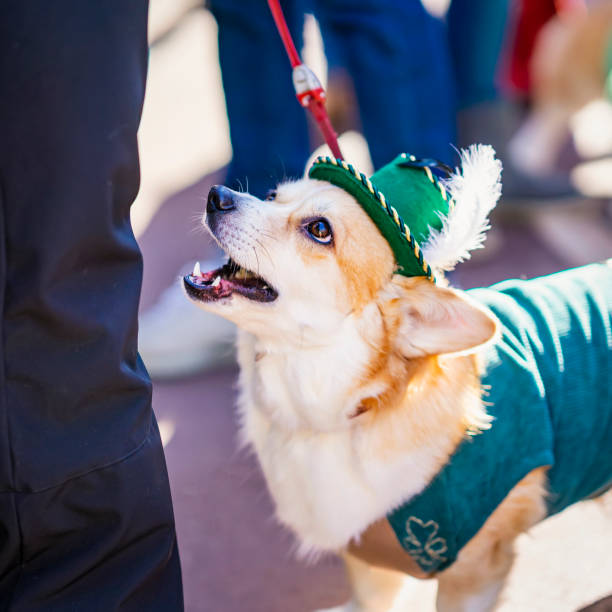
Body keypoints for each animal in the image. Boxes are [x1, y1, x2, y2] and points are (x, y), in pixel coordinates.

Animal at [184, 146, 612, 608]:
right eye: (272, 195)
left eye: (319, 229)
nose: (217, 195)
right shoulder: (367, 553)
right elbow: (368, 599)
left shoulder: (475, 571)